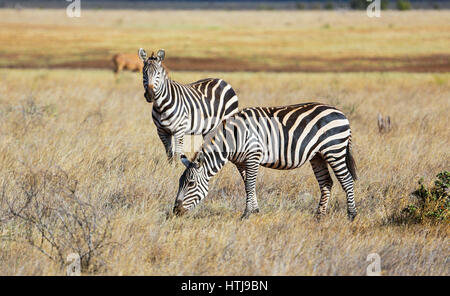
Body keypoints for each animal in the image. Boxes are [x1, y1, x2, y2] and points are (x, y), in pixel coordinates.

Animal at [173, 102, 358, 220]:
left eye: (190, 184)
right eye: (180, 183)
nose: (175, 211)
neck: (232, 139)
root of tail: (341, 113)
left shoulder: (253, 156)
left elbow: (249, 185)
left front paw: (246, 214)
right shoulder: (241, 162)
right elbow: (247, 185)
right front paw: (254, 210)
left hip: (334, 150)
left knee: (347, 180)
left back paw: (351, 215)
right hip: (318, 155)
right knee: (326, 182)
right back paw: (319, 216)